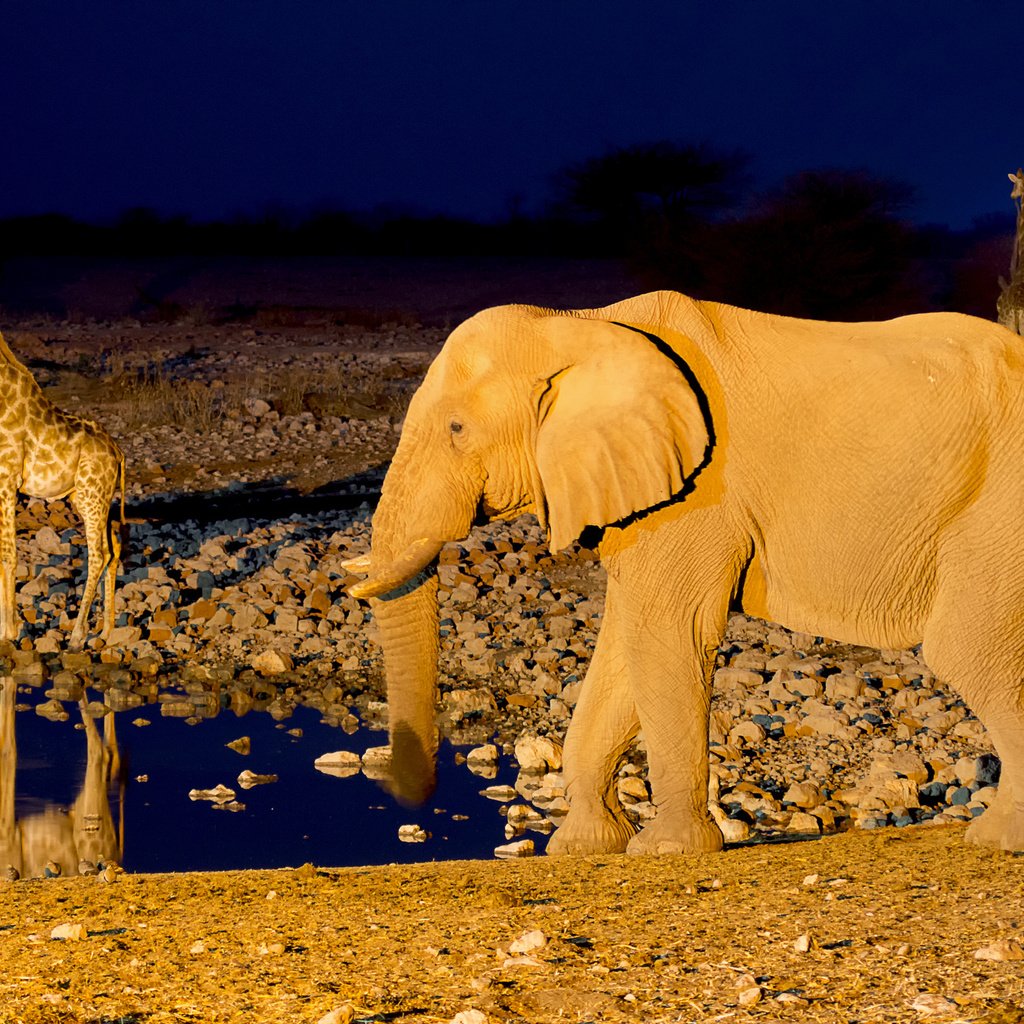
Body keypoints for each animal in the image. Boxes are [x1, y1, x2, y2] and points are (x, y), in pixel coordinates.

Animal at [0, 333, 124, 647]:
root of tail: (118, 453)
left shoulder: (6, 480)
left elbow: (8, 553)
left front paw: (8, 633)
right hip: (92, 498)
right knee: (114, 547)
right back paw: (106, 630)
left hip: (93, 495)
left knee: (99, 553)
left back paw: (77, 637)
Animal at [348, 290, 1024, 856]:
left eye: (457, 429)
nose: (405, 797)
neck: (580, 325)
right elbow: (625, 647)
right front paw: (583, 847)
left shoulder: (696, 495)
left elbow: (667, 634)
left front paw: (666, 851)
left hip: (996, 509)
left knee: (969, 652)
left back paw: (997, 841)